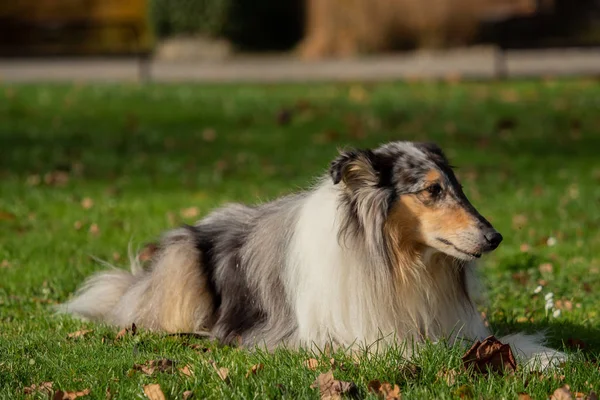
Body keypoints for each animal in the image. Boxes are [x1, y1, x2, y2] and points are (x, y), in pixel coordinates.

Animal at [58, 142, 564, 370]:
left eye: (457, 188)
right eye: (431, 191)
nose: (494, 237)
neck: (397, 263)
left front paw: (545, 357)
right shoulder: (345, 337)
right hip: (184, 269)